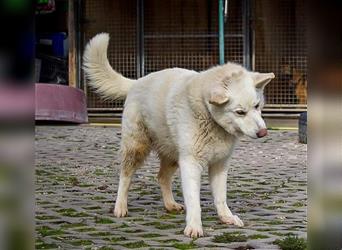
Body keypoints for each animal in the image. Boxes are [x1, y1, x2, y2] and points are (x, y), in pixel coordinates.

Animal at [83, 33, 276, 238]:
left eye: (257, 106)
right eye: (240, 112)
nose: (263, 132)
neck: (209, 116)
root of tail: (137, 81)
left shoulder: (219, 164)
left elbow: (220, 198)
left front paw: (226, 218)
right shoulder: (190, 164)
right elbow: (194, 201)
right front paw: (194, 227)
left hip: (173, 155)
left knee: (161, 177)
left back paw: (170, 205)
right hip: (137, 147)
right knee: (125, 176)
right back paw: (120, 207)